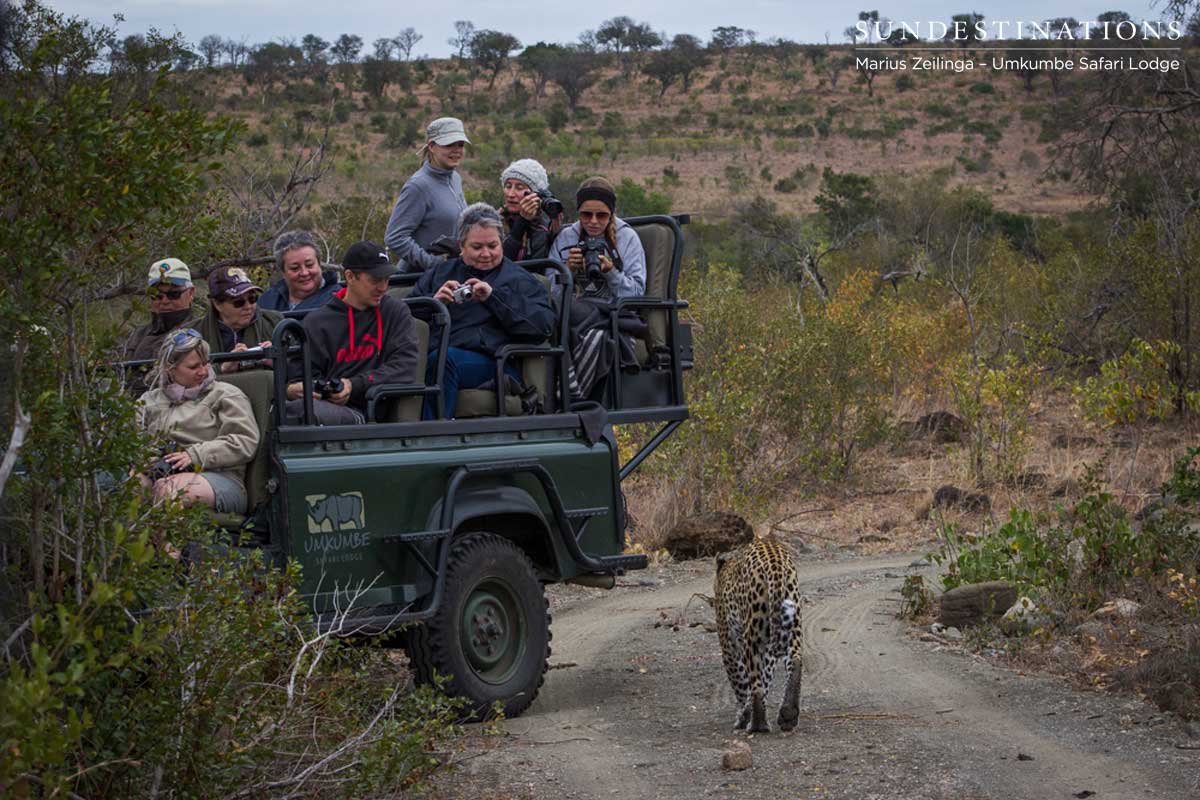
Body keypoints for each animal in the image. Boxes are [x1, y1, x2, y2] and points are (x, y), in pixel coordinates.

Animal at [713, 534, 803, 733]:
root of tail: (776, 564)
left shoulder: (728, 643)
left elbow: (741, 683)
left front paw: (742, 717)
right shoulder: (768, 649)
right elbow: (766, 678)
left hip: (751, 636)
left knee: (754, 684)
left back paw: (757, 725)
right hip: (793, 628)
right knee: (795, 662)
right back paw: (788, 715)